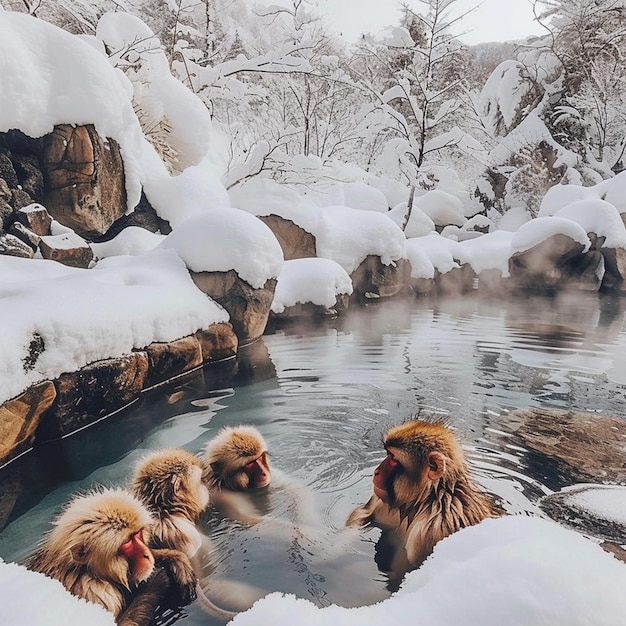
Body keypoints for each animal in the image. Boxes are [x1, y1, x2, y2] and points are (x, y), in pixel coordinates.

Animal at [25, 488, 197, 624]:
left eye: (138, 534)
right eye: (127, 542)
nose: (147, 555)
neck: (89, 572)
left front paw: (175, 559)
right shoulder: (97, 594)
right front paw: (157, 580)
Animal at [346, 416, 498, 584]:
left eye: (393, 458)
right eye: (387, 453)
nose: (376, 472)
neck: (422, 502)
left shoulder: (433, 533)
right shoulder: (384, 499)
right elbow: (361, 515)